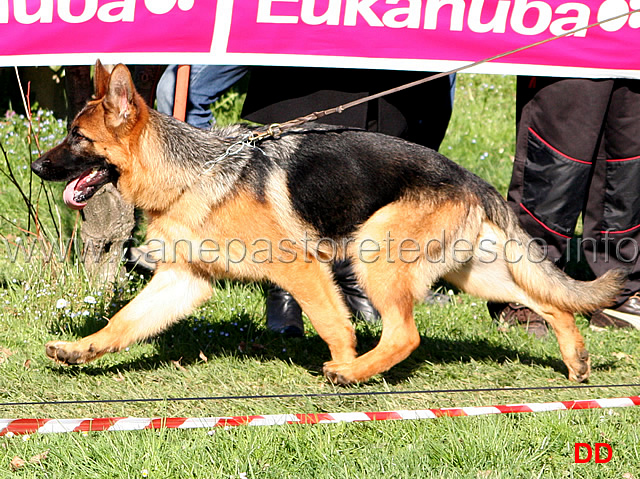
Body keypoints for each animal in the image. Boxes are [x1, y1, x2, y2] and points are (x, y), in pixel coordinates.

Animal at [31, 62, 624, 386]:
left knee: (405, 333)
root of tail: (467, 175)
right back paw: (576, 360)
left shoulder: (302, 269)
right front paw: (81, 350)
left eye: (78, 138)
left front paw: (341, 364)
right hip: (471, 273)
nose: (36, 166)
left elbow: (334, 323)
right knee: (550, 303)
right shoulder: (184, 280)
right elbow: (124, 322)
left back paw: (356, 373)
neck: (191, 169)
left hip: (373, 255)